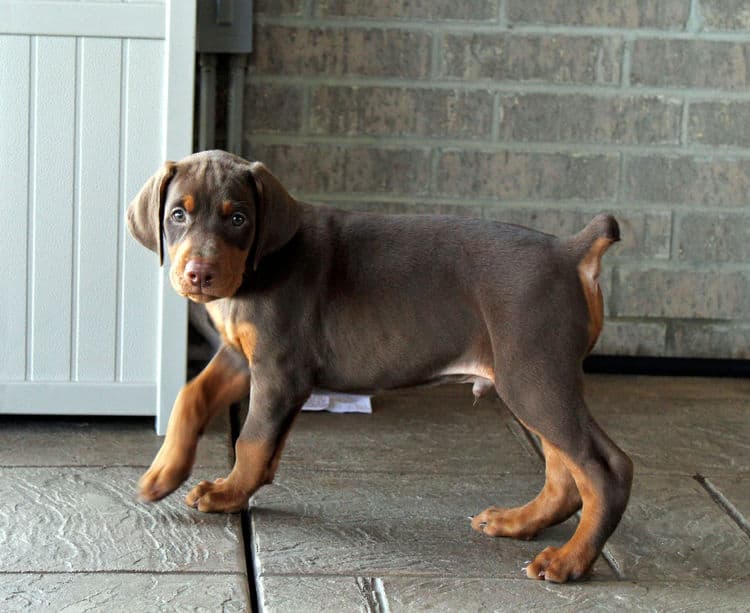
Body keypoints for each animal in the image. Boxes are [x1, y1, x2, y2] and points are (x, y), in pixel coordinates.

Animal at [129, 151, 636, 580]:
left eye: (238, 218)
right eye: (178, 215)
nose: (199, 274)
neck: (258, 268)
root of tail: (570, 250)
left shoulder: (278, 369)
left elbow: (252, 441)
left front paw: (229, 493)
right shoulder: (241, 356)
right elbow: (191, 396)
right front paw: (163, 474)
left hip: (534, 374)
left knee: (605, 468)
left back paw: (569, 561)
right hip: (530, 378)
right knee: (564, 473)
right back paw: (518, 522)